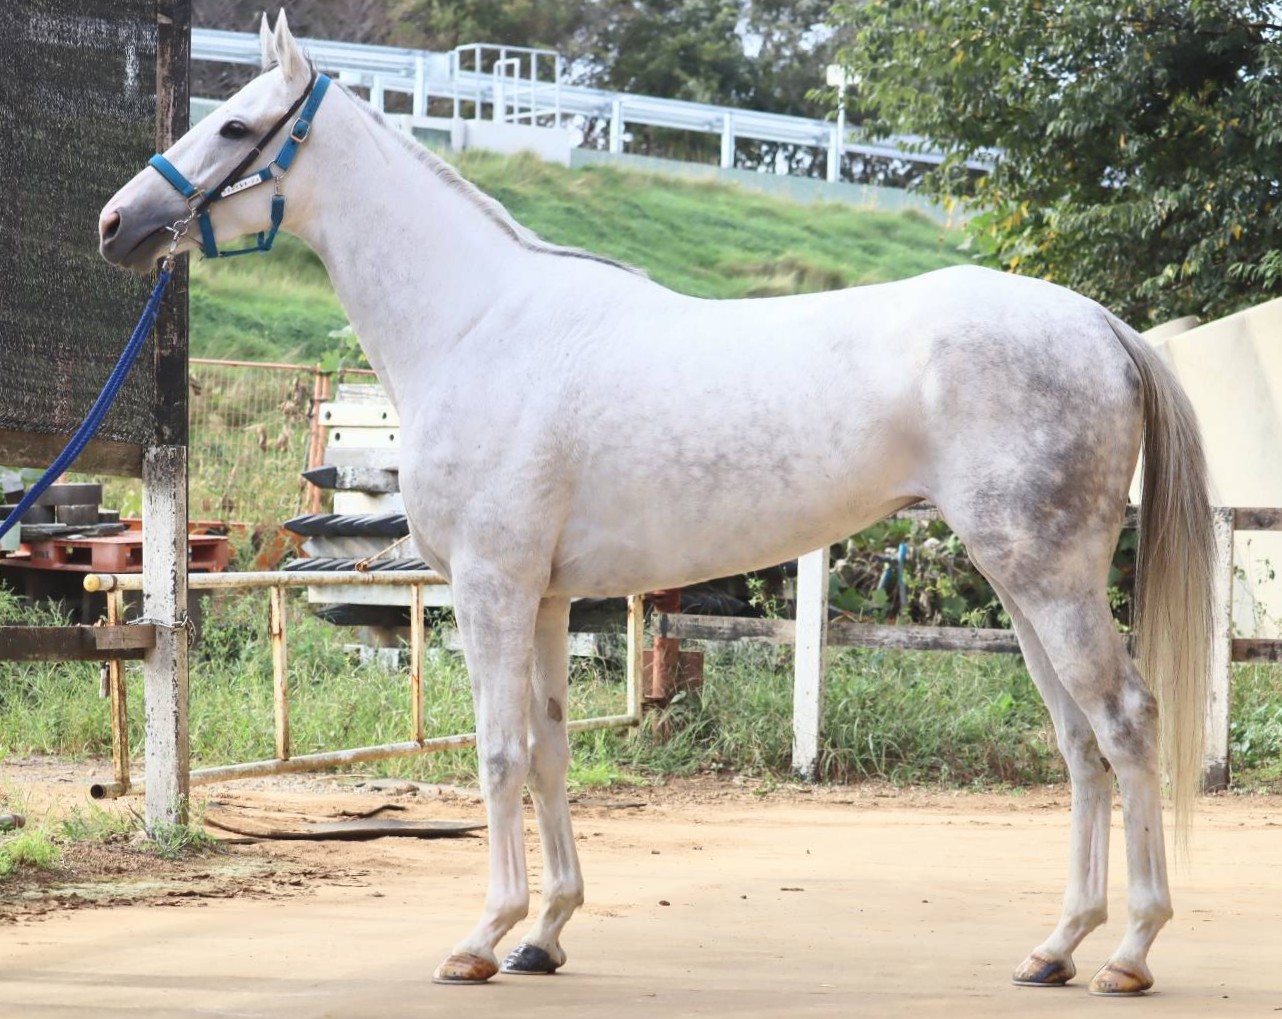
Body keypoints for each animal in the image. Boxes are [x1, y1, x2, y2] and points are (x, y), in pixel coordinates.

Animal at [98, 12, 1213, 997]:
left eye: (235, 127)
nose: (118, 224)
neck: (475, 325)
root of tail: (1100, 323)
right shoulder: (547, 599)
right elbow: (550, 750)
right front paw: (543, 934)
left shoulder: (491, 588)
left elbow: (498, 753)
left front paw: (481, 937)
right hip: (1022, 584)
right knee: (1077, 742)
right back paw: (1056, 947)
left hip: (1049, 578)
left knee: (1123, 723)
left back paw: (1129, 951)